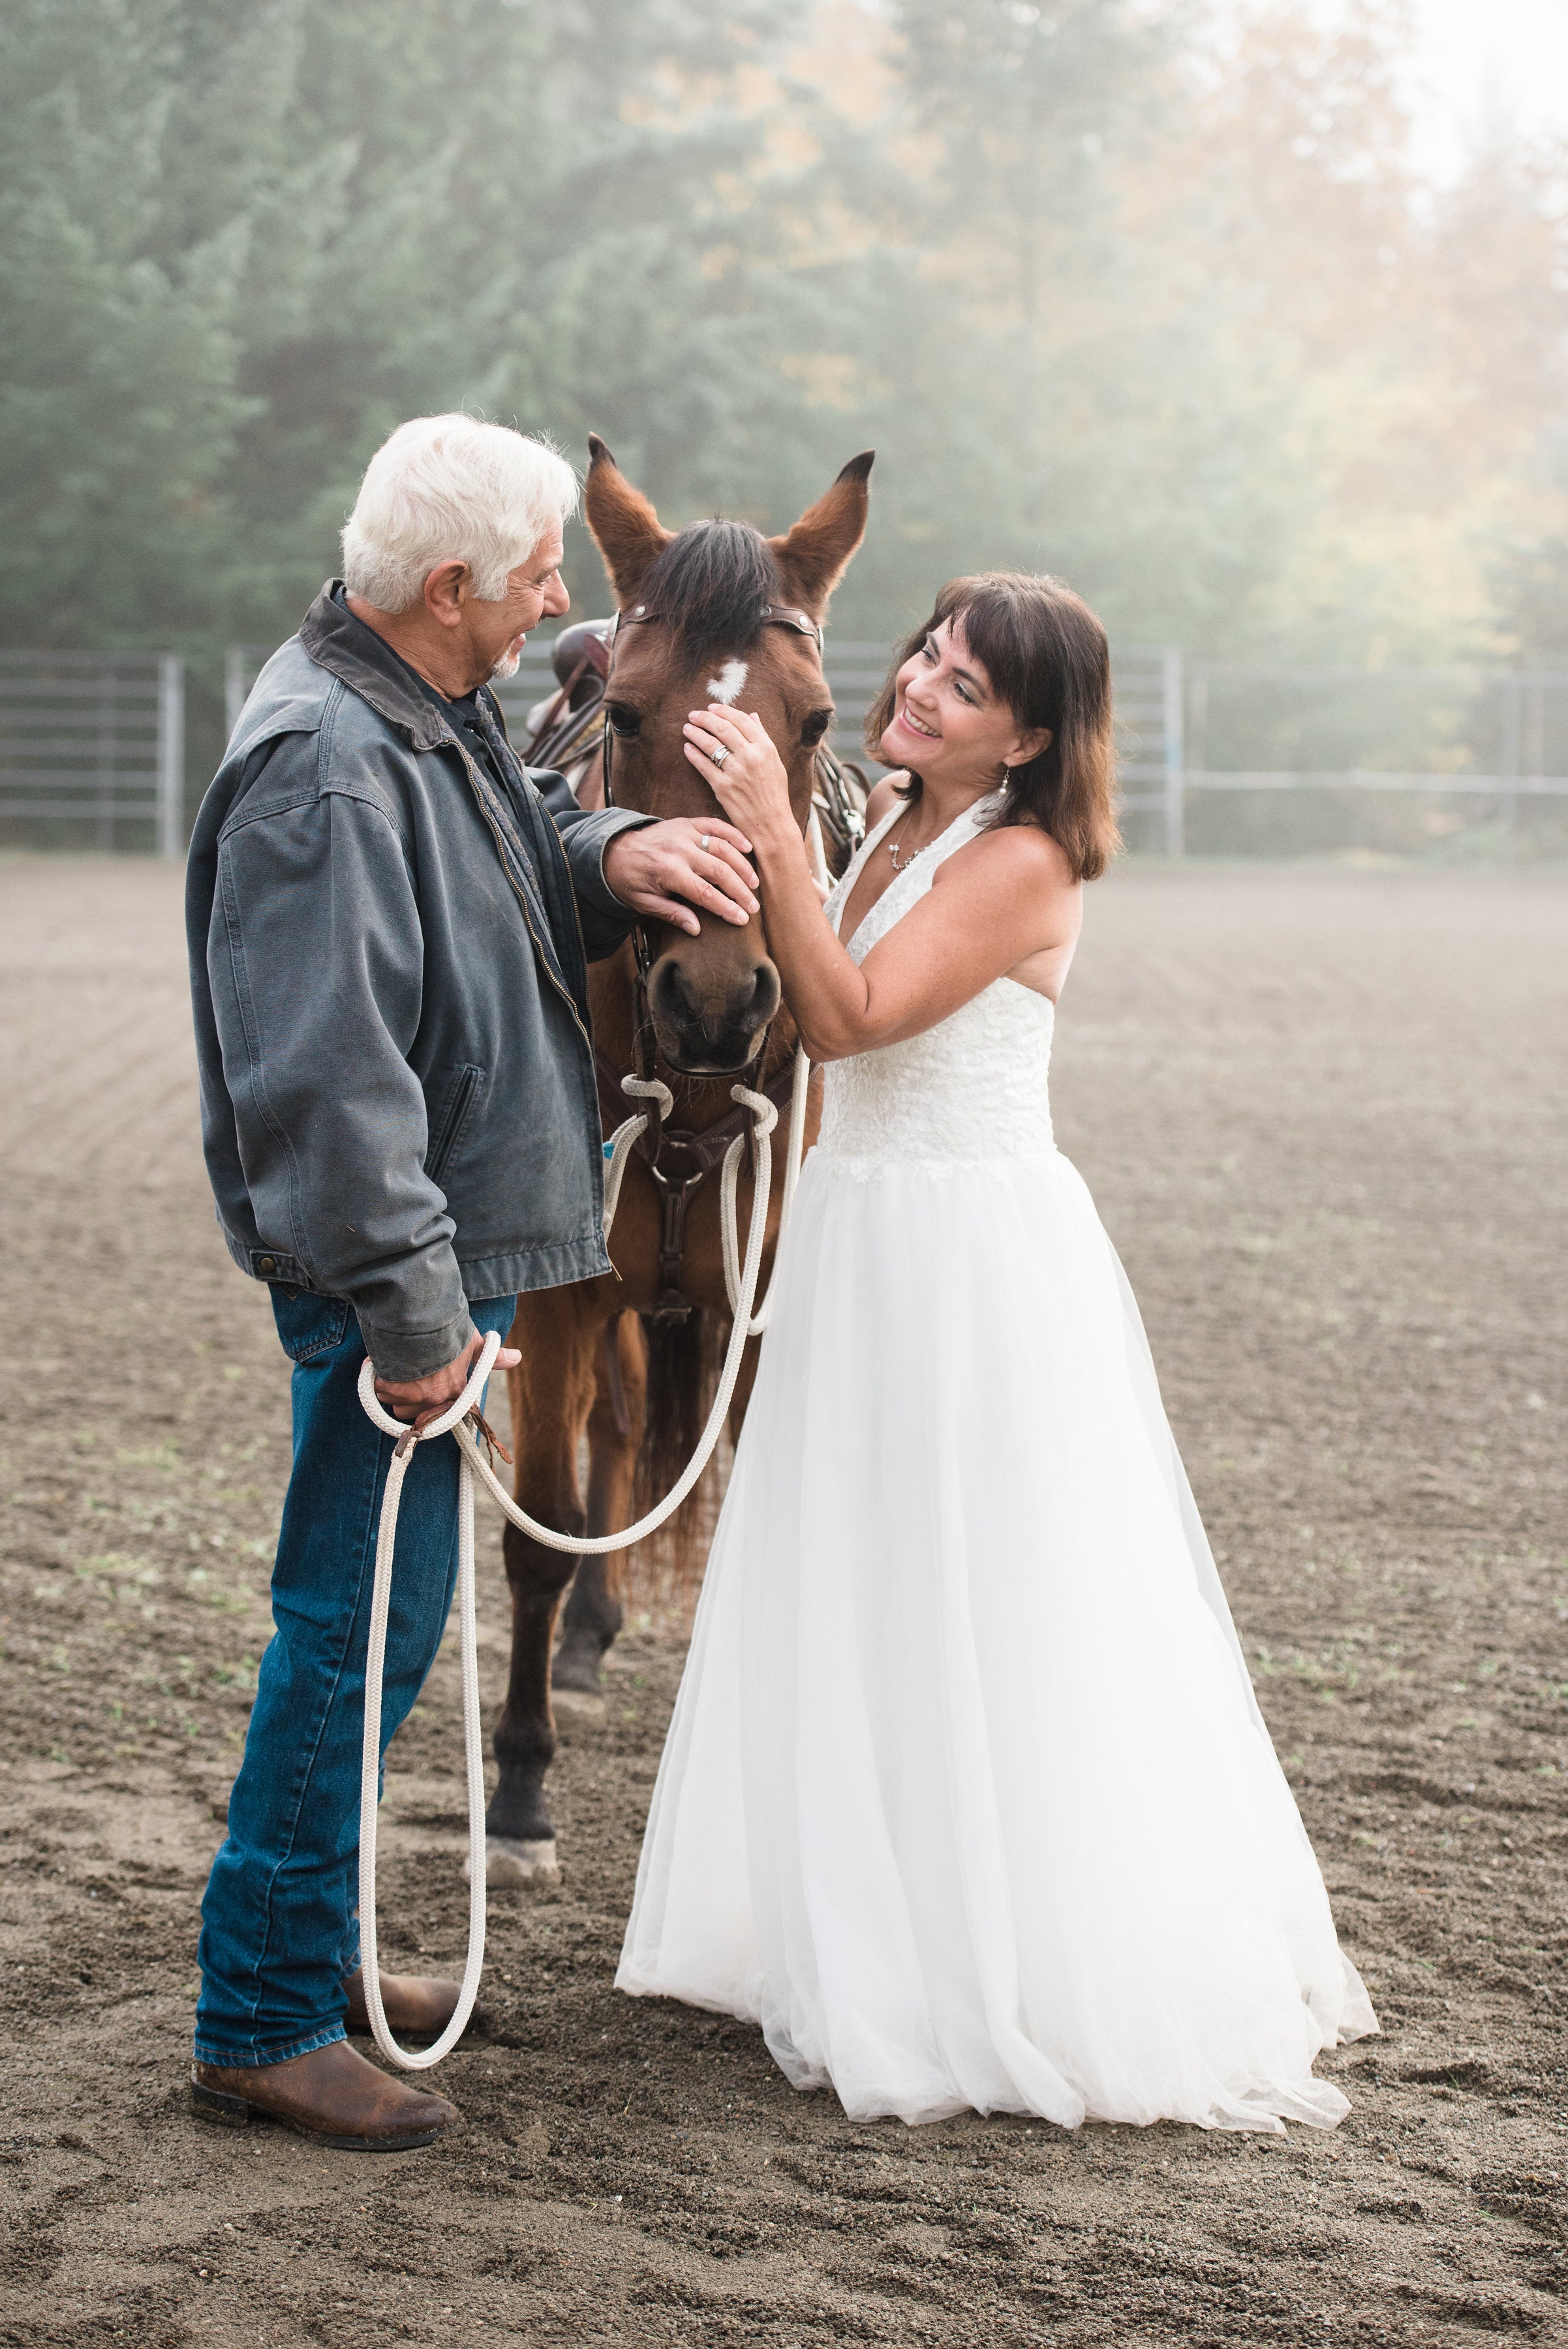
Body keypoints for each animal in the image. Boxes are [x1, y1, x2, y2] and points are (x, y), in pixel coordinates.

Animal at [484, 432, 878, 1879]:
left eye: (809, 721)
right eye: (634, 719)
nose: (715, 998)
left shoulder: (762, 1306)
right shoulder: (563, 1291)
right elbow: (539, 1533)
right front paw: (520, 1792)